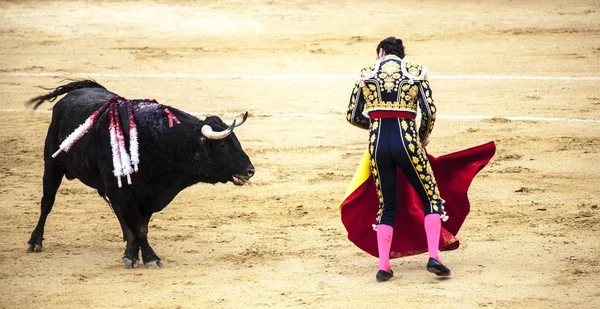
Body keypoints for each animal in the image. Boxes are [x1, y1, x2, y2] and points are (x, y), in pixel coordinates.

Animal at [24, 80, 254, 268]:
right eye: (223, 144)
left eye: (236, 141)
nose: (250, 170)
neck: (159, 142)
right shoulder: (123, 190)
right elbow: (139, 226)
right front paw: (150, 258)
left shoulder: (148, 195)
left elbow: (141, 225)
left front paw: (133, 254)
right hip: (52, 164)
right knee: (47, 202)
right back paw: (34, 242)